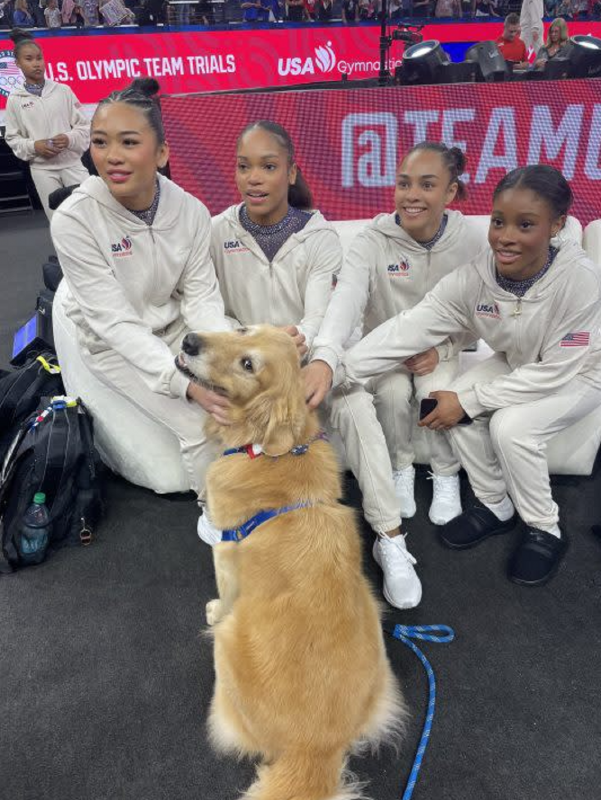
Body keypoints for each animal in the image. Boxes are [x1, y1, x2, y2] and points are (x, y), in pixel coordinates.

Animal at [176, 326, 406, 800]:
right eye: (242, 329)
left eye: (248, 364)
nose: (189, 340)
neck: (270, 450)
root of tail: (313, 749)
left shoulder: (225, 550)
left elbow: (224, 592)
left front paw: (213, 607)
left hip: (226, 647)